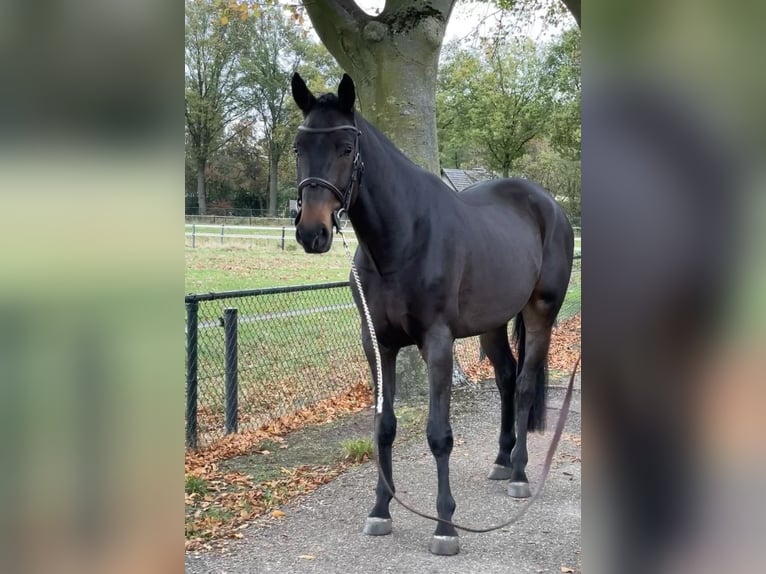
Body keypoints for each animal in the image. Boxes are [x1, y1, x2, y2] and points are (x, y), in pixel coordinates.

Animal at [292, 74, 572, 556]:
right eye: (297, 147)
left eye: (345, 148)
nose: (313, 232)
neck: (402, 240)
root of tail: (549, 204)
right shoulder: (378, 343)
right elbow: (384, 426)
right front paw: (380, 511)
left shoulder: (438, 343)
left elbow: (439, 434)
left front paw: (445, 527)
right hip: (493, 323)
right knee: (507, 377)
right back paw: (501, 460)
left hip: (541, 313)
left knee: (523, 386)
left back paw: (518, 473)